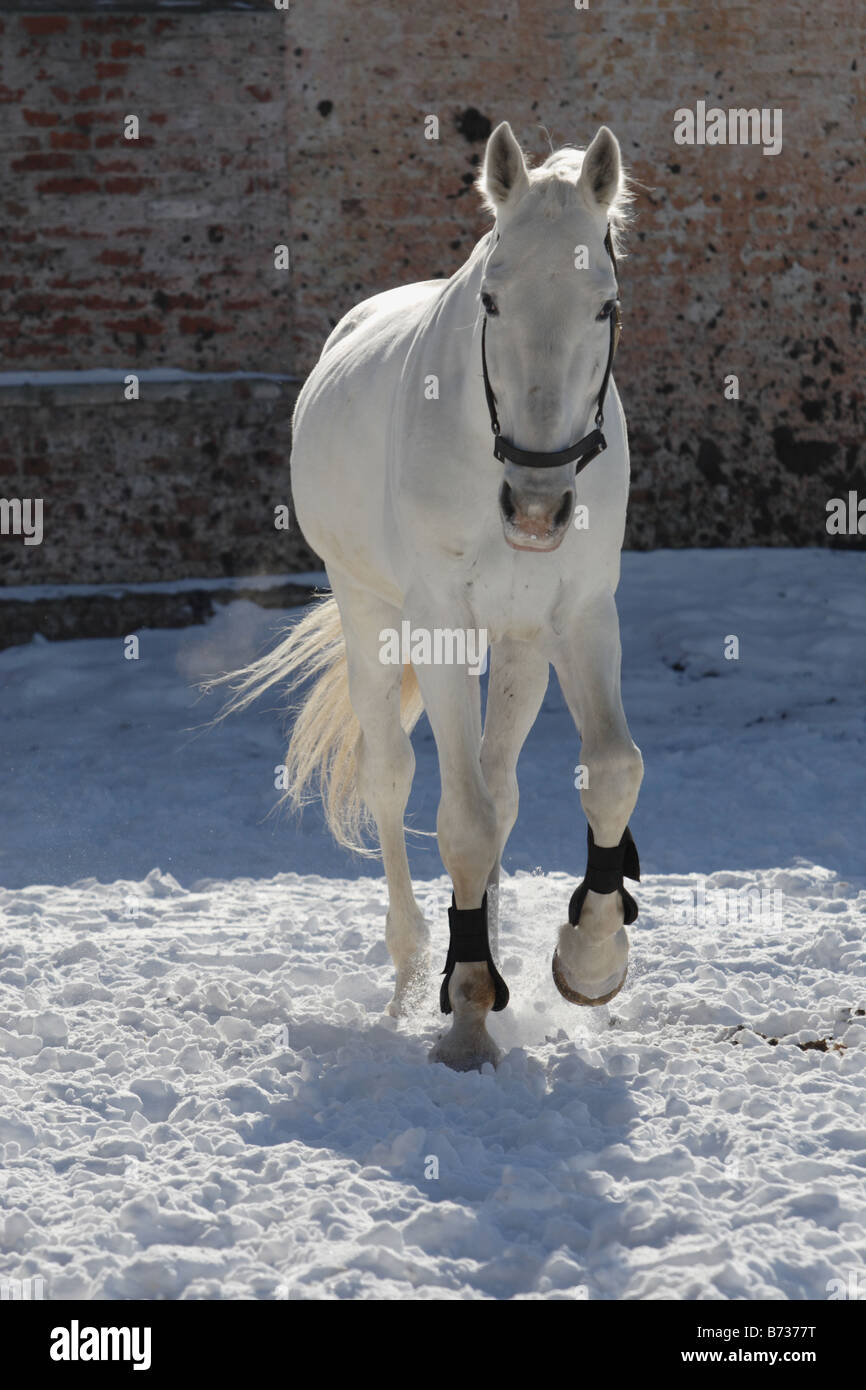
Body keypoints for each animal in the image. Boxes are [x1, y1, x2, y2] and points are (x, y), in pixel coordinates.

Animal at [223, 125, 644, 1067]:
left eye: (604, 307)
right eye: (491, 299)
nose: (537, 505)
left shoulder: (581, 612)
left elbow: (610, 771)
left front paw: (590, 960)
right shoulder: (441, 625)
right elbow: (462, 821)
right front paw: (468, 1019)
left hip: (520, 643)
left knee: (500, 782)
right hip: (371, 617)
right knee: (395, 778)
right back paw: (417, 971)